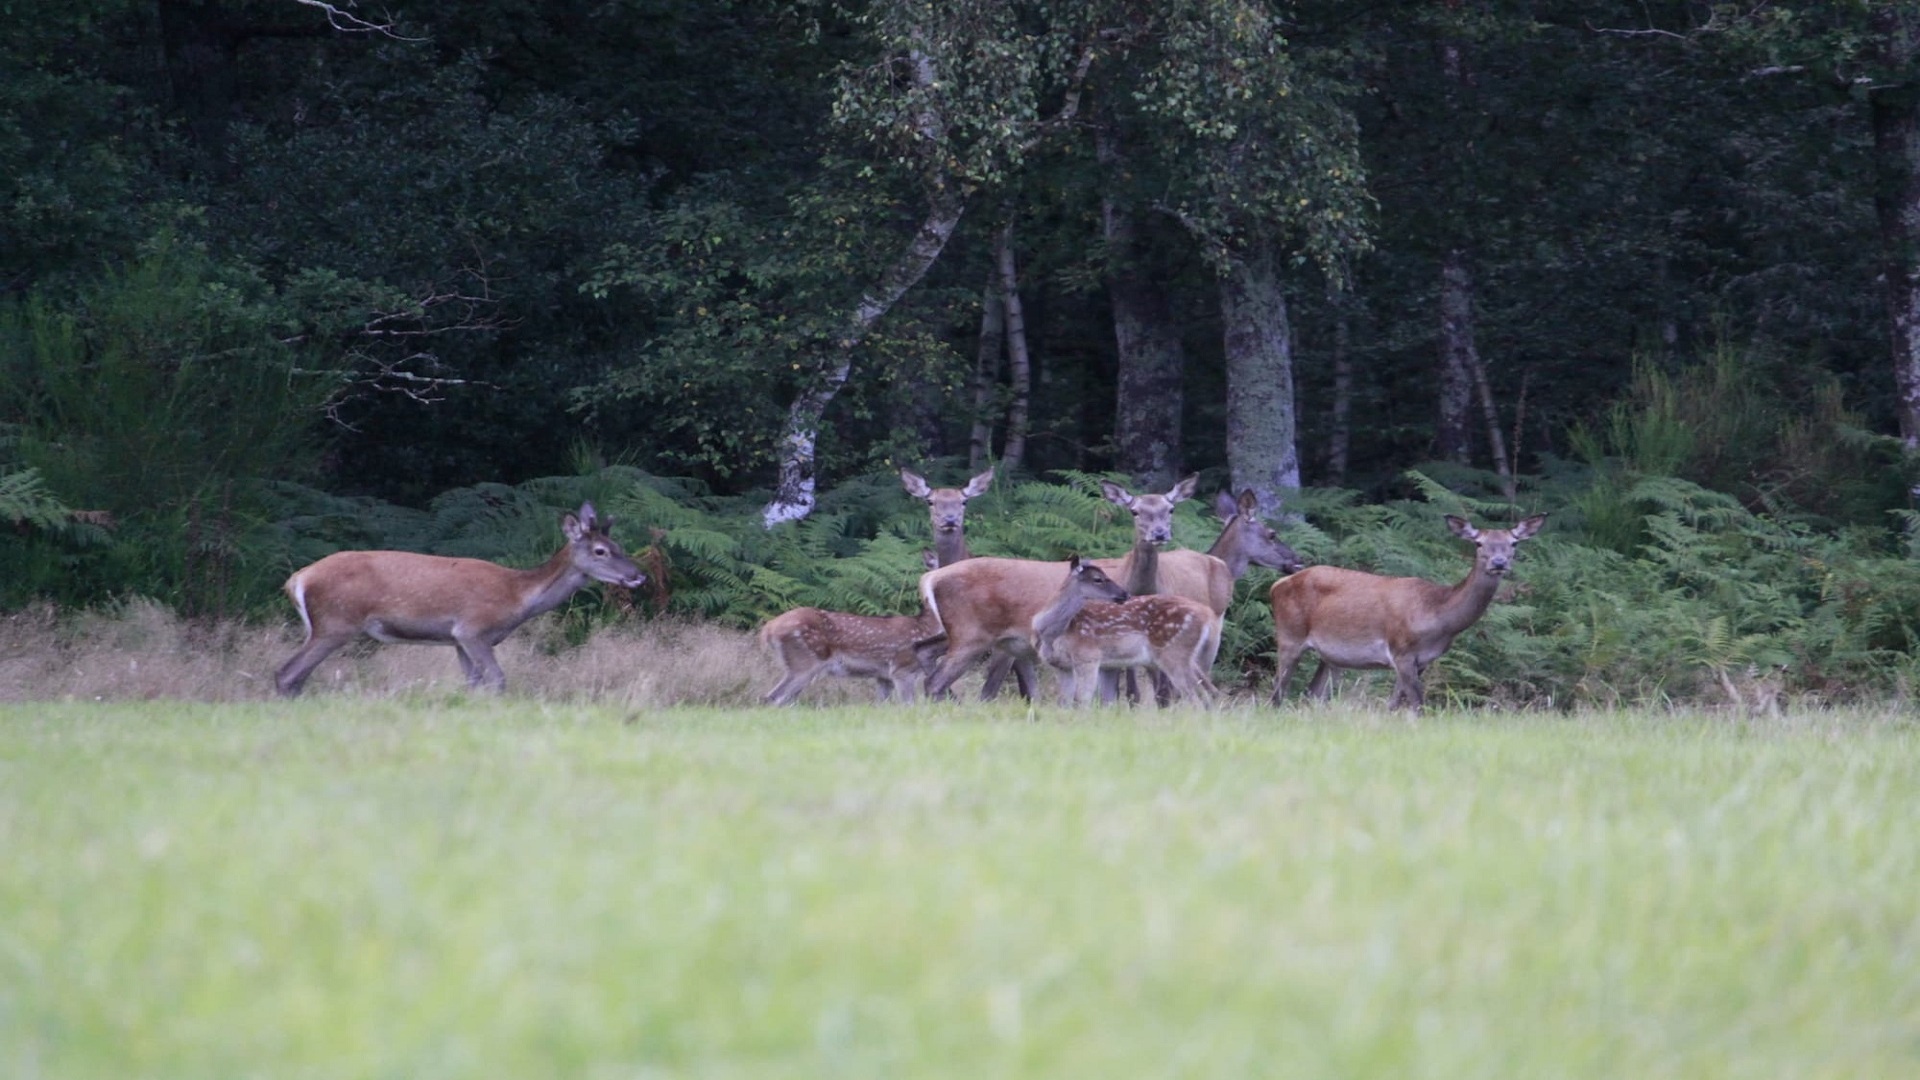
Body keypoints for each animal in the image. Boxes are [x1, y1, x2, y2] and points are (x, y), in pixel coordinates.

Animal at [274, 499, 645, 691]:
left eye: (618, 545)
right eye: (600, 551)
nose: (638, 575)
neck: (517, 596)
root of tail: (297, 579)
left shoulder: (457, 640)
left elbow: (472, 684)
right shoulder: (473, 629)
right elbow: (497, 680)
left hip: (321, 626)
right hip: (335, 622)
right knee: (287, 673)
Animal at [760, 545, 948, 707]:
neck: (925, 627)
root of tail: (768, 629)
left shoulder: (883, 676)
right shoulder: (902, 668)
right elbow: (908, 705)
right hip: (804, 662)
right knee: (775, 698)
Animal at [1029, 553, 1221, 707]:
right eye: (1098, 579)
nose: (1125, 594)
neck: (1050, 633)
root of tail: (1207, 615)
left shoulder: (1088, 656)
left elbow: (1081, 701)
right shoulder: (1061, 666)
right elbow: (1064, 703)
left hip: (1174, 653)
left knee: (1195, 698)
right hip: (1189, 658)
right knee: (1207, 693)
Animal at [1267, 511, 1551, 711]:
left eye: (1514, 543)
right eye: (1479, 543)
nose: (1499, 563)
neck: (1437, 615)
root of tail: (1277, 585)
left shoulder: (1421, 660)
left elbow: (1394, 705)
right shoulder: (1401, 650)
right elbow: (1417, 705)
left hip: (1331, 656)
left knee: (1311, 693)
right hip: (1289, 636)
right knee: (1276, 695)